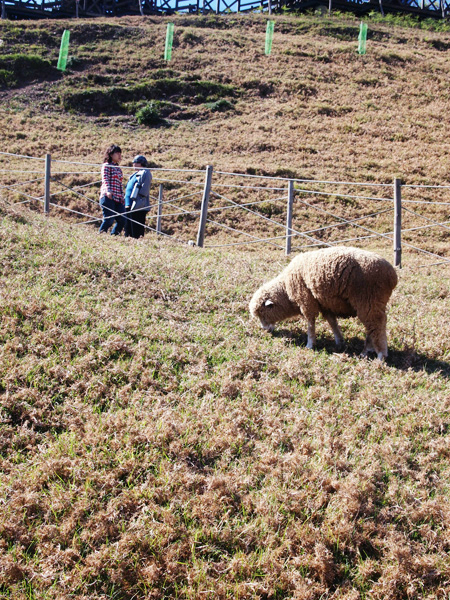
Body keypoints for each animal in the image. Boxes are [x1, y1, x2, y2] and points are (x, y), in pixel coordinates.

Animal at [248, 246, 400, 358]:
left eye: (263, 314)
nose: (265, 330)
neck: (286, 291)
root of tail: (392, 275)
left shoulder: (306, 300)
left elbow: (310, 323)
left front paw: (310, 344)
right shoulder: (325, 304)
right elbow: (332, 322)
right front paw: (339, 341)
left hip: (368, 299)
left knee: (377, 325)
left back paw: (380, 355)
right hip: (371, 303)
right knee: (371, 327)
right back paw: (366, 351)